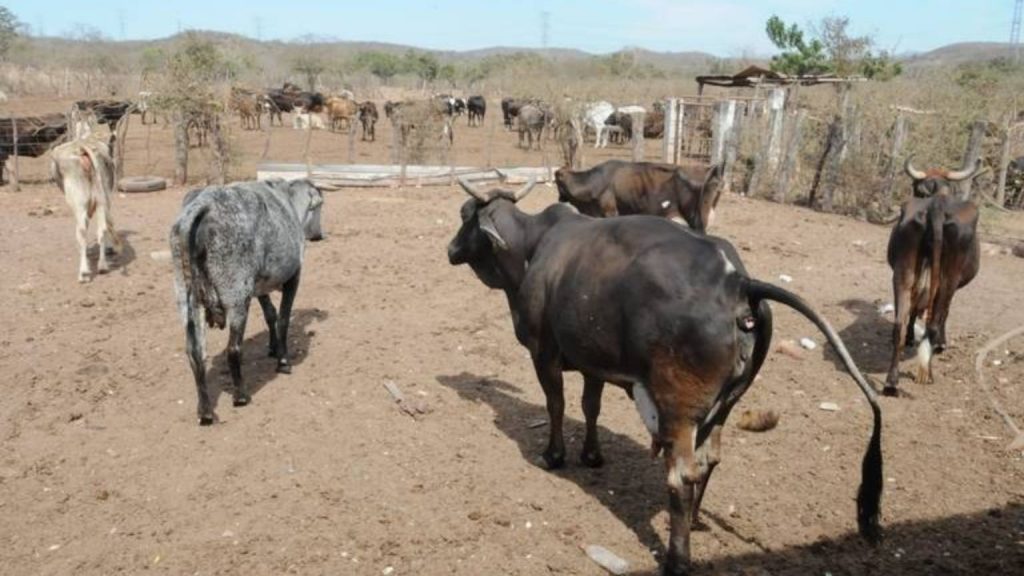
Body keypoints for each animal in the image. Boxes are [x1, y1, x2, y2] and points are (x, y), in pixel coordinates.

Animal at [48, 109, 122, 280]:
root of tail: (83, 148)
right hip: (102, 200)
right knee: (102, 228)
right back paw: (102, 266)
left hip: (79, 203)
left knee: (82, 231)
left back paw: (84, 272)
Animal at [168, 177, 323, 424]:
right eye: (320, 207)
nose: (320, 234)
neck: (288, 203)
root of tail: (202, 207)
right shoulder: (293, 276)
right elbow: (283, 319)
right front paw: (283, 361)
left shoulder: (259, 287)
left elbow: (270, 314)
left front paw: (273, 348)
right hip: (237, 298)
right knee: (233, 349)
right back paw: (240, 395)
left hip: (187, 301)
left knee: (195, 353)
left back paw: (205, 410)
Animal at [444, 177, 884, 569]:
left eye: (465, 214)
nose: (449, 249)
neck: (533, 248)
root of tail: (738, 283)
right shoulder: (592, 361)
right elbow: (590, 407)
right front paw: (591, 455)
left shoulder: (544, 353)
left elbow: (556, 404)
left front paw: (554, 455)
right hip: (725, 404)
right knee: (709, 460)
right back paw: (695, 521)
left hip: (677, 406)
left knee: (681, 476)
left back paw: (678, 557)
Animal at [880, 155, 983, 393]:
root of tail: (936, 206)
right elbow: (944, 313)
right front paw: (941, 344)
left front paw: (912, 338)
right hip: (948, 279)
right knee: (934, 322)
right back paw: (928, 372)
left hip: (903, 274)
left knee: (900, 323)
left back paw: (892, 381)